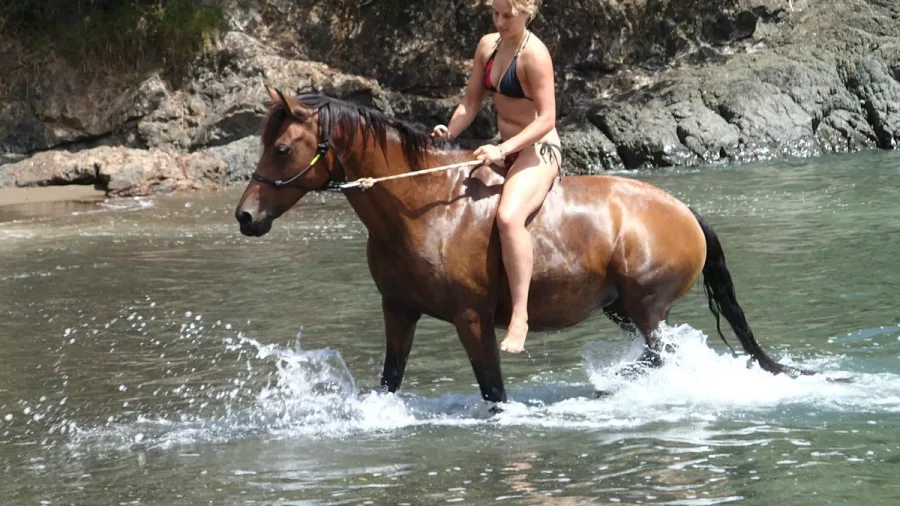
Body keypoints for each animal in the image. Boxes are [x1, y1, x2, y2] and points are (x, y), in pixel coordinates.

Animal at [235, 87, 807, 404]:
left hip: (646, 307)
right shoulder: (398, 310)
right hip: (621, 308)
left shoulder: (470, 318)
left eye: (281, 148)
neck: (424, 208)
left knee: (660, 356)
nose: (246, 216)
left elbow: (493, 391)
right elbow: (391, 380)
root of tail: (685, 211)